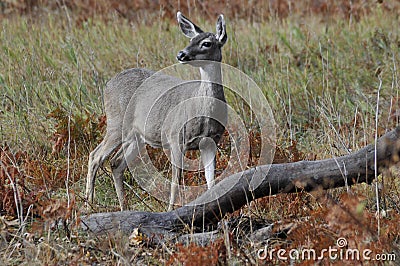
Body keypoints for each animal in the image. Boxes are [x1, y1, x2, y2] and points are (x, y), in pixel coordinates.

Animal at [84, 11, 228, 212]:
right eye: (190, 39)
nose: (181, 54)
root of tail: (107, 85)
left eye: (206, 43)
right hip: (115, 123)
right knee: (95, 156)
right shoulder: (176, 138)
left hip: (136, 136)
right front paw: (170, 210)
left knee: (116, 163)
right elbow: (176, 180)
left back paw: (123, 207)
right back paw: (88, 205)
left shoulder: (210, 142)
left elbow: (211, 180)